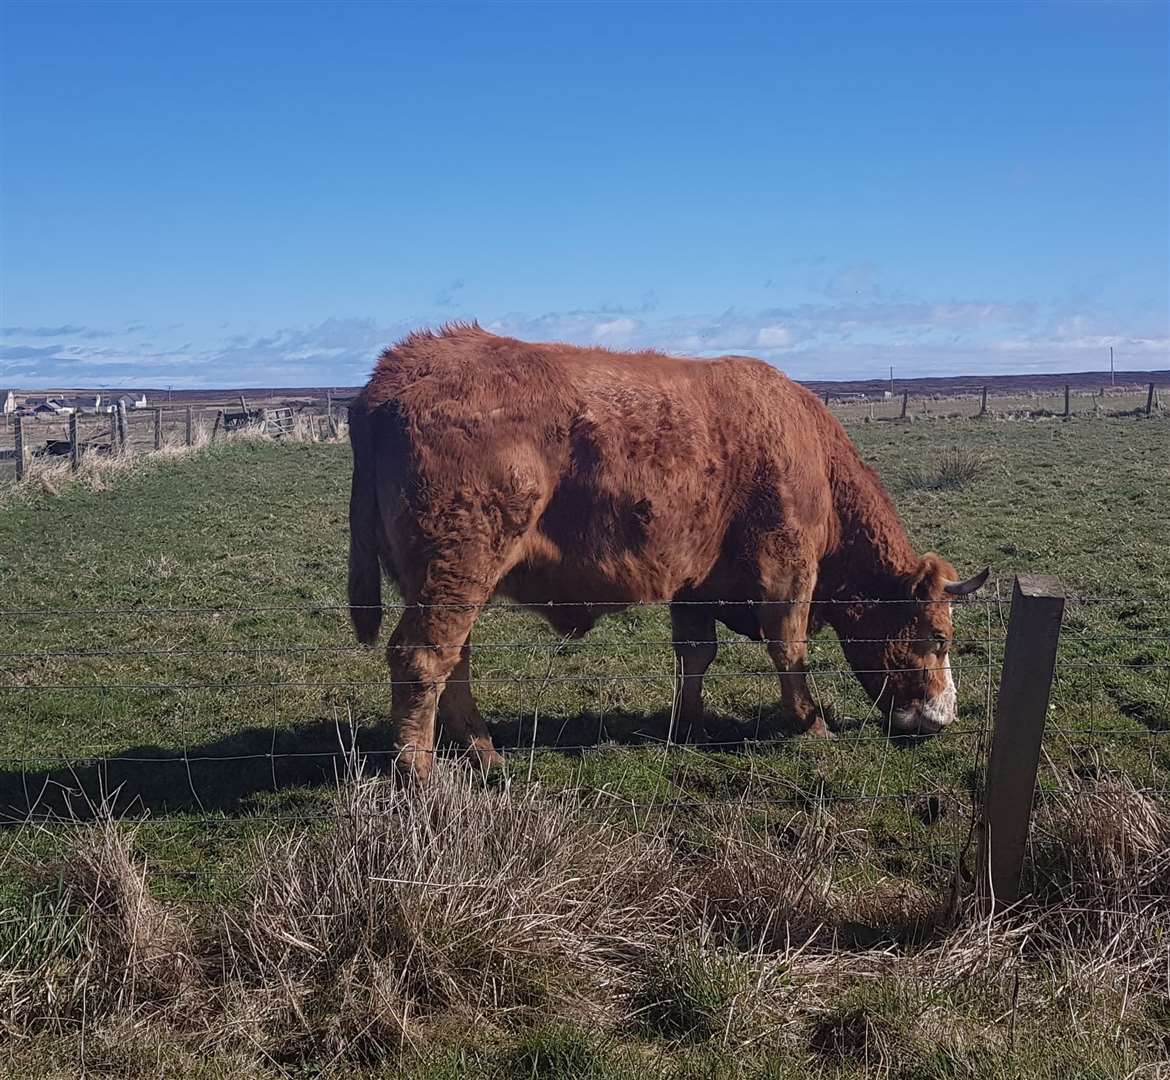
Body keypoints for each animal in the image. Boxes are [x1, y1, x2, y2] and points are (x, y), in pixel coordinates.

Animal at [343, 325, 987, 781]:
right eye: (939, 637)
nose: (944, 716)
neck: (811, 455)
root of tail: (399, 369)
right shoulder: (787, 567)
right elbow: (790, 648)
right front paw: (812, 726)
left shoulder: (695, 584)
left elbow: (695, 655)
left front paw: (690, 724)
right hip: (459, 570)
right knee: (422, 658)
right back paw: (420, 770)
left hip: (448, 584)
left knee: (455, 662)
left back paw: (483, 751)